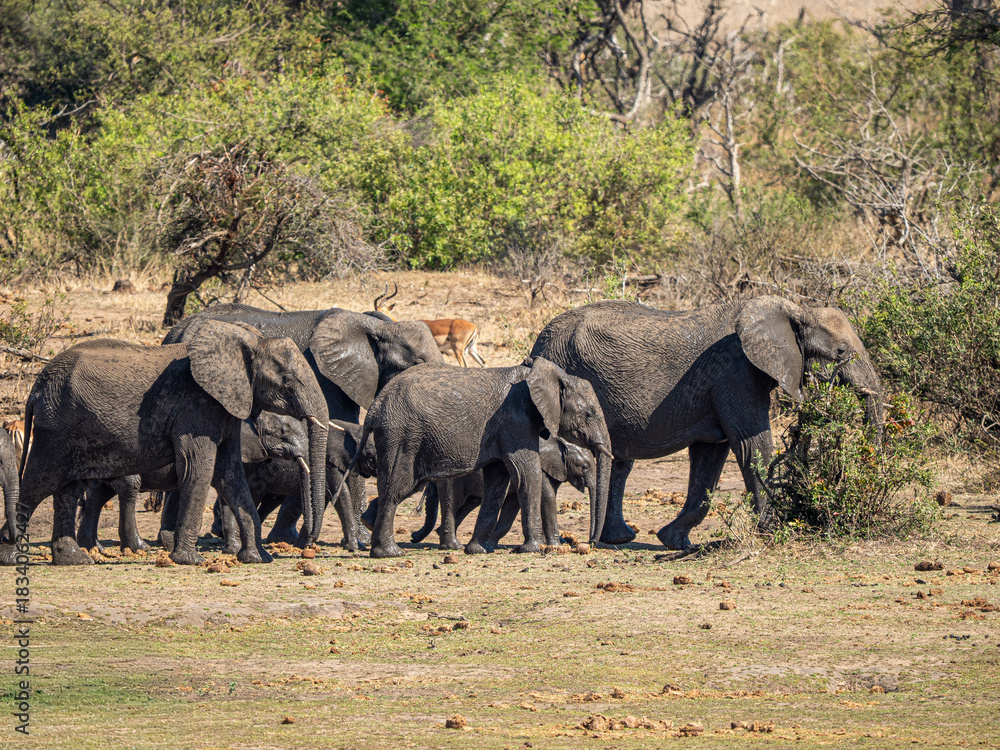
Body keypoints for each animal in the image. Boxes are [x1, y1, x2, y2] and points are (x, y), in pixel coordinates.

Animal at [78, 411, 311, 555]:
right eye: (283, 433)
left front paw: (234, 548)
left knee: (99, 494)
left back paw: (93, 547)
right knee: (128, 487)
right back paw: (139, 547)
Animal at [162, 303, 443, 549]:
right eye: (418, 361)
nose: (415, 536)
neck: (377, 328)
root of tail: (176, 330)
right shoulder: (328, 377)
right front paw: (361, 538)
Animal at [406, 436, 597, 548]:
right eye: (584, 466)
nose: (412, 537)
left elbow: (513, 505)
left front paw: (490, 543)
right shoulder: (541, 468)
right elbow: (548, 498)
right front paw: (556, 546)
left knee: (466, 506)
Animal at [530, 297, 885, 550]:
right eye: (840, 353)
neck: (794, 310)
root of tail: (538, 343)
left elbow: (710, 458)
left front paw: (674, 540)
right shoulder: (736, 371)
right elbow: (751, 445)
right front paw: (773, 533)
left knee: (620, 461)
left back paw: (617, 539)